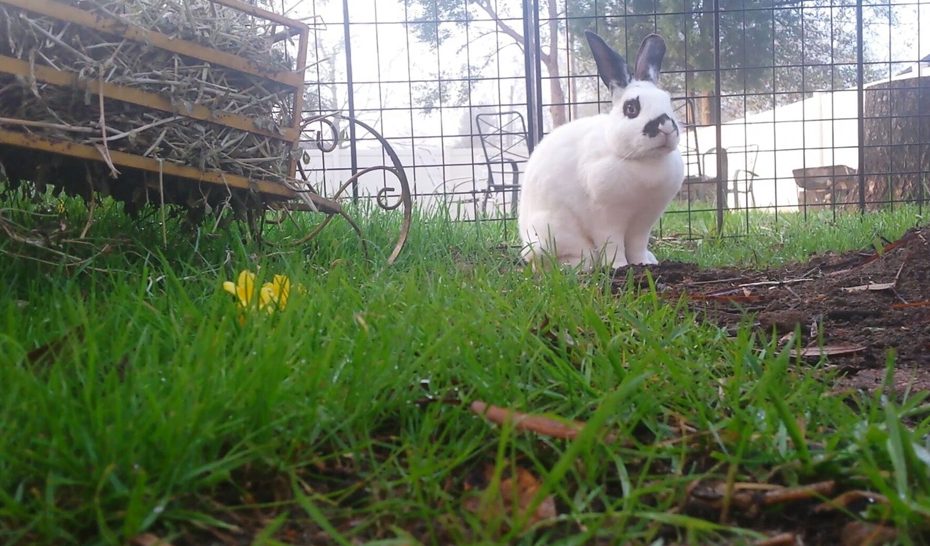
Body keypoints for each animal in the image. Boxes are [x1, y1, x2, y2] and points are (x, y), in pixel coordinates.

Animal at [518, 31, 684, 270]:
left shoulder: (644, 222)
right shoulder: (605, 218)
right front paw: (619, 266)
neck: (643, 160)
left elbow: (637, 245)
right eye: (631, 108)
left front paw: (642, 263)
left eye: (668, 102)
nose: (666, 127)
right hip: (552, 233)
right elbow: (613, 244)